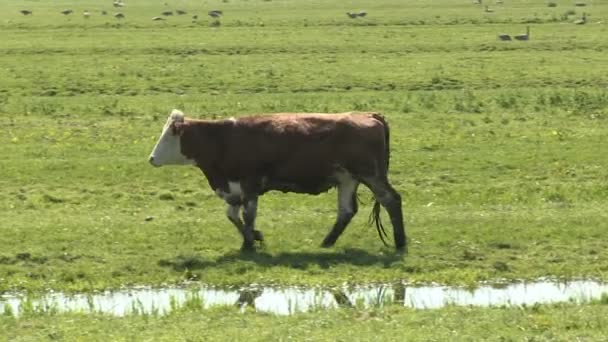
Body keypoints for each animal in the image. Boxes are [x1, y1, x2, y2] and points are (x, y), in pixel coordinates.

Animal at [147, 109, 406, 251]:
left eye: (168, 136)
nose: (151, 158)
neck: (223, 139)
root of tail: (369, 115)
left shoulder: (250, 184)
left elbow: (248, 215)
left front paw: (249, 244)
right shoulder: (233, 188)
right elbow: (232, 215)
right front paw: (254, 237)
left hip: (371, 175)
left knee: (391, 200)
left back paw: (400, 241)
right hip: (347, 179)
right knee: (346, 211)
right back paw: (326, 243)